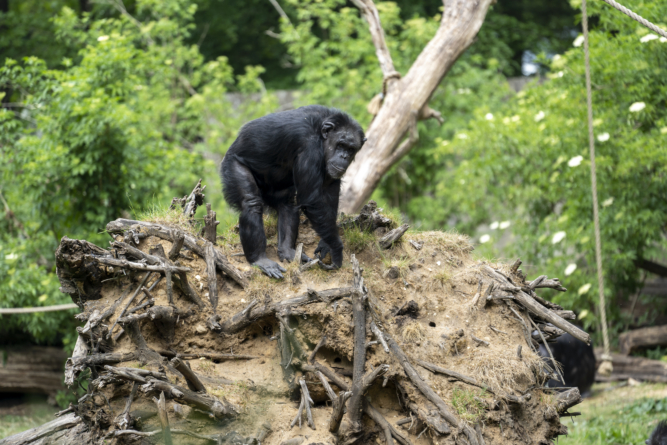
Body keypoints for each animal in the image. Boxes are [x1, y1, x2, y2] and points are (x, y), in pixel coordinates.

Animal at [219, 104, 366, 278]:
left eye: (351, 149)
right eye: (341, 144)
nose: (344, 156)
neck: (322, 135)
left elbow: (329, 191)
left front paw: (326, 244)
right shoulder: (309, 148)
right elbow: (311, 201)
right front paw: (336, 250)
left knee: (288, 205)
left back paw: (288, 251)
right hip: (232, 165)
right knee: (251, 203)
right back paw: (260, 260)